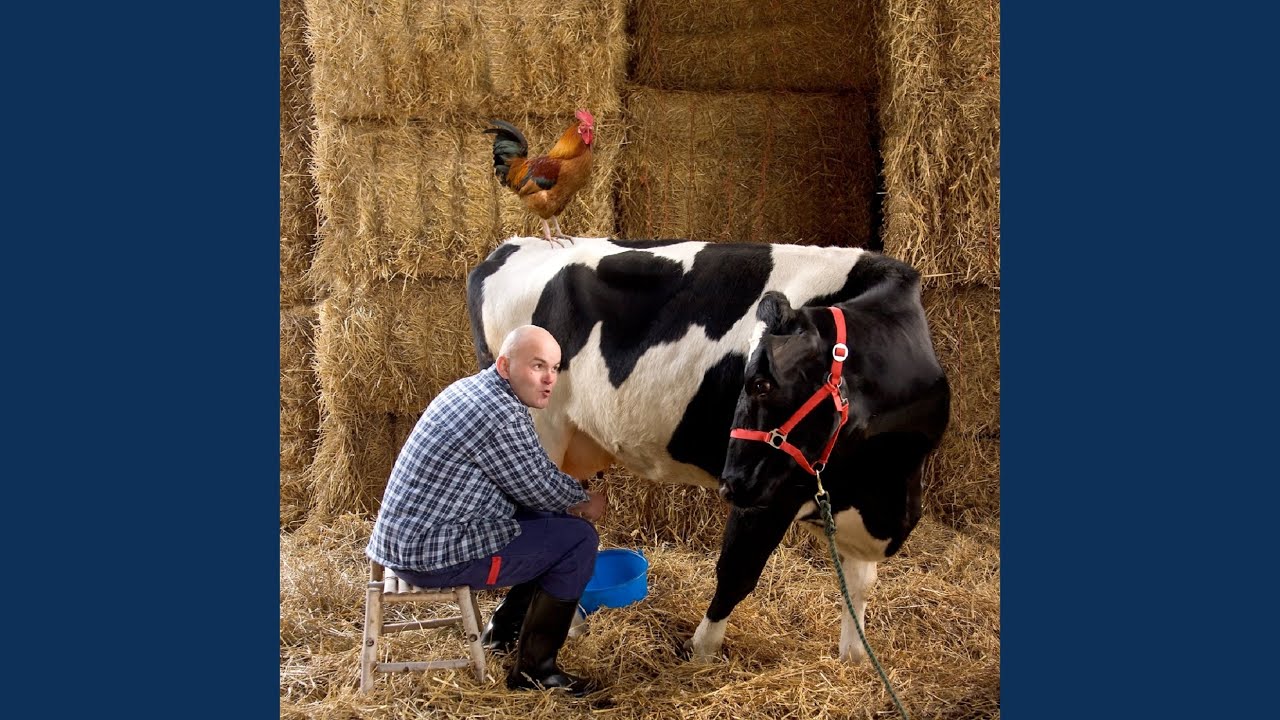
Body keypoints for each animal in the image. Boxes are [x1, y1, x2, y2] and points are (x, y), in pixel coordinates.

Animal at [465, 236, 950, 663]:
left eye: (761, 384)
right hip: (538, 430)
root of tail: (511, 246)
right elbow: (737, 571)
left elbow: (859, 583)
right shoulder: (771, 496)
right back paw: (499, 635)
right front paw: (701, 652)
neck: (883, 484)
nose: (731, 483)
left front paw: (855, 659)